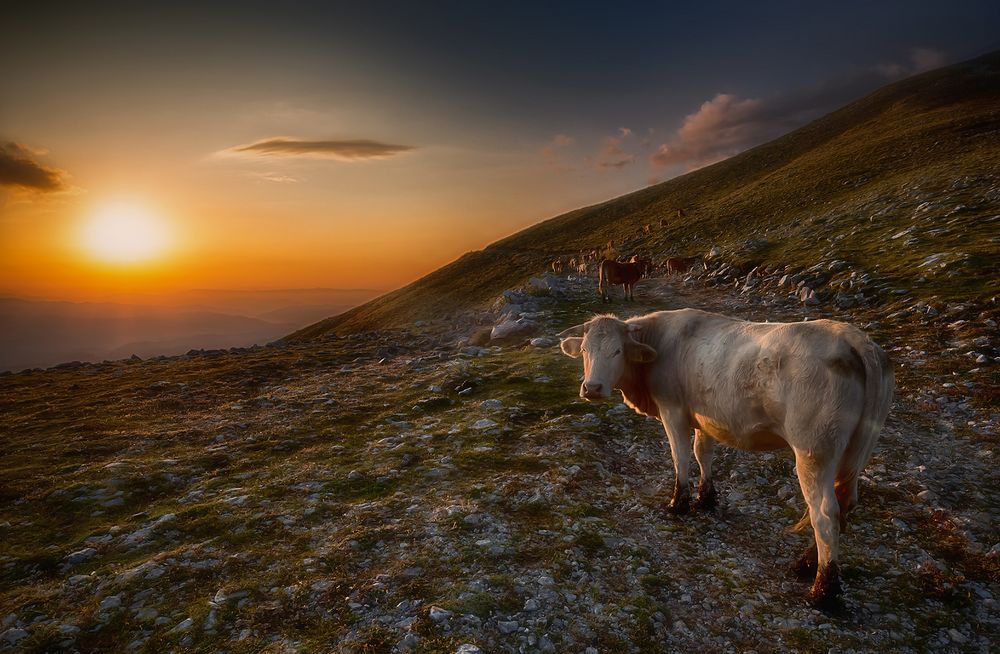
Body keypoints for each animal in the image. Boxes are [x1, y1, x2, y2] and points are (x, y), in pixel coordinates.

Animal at [560, 310, 896, 608]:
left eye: (617, 350)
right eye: (586, 350)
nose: (592, 388)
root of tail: (853, 337)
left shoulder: (672, 410)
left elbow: (680, 456)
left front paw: (677, 504)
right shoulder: (704, 415)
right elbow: (703, 453)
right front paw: (705, 498)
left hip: (814, 451)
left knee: (825, 515)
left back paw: (823, 591)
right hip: (854, 451)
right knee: (844, 504)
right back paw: (807, 564)